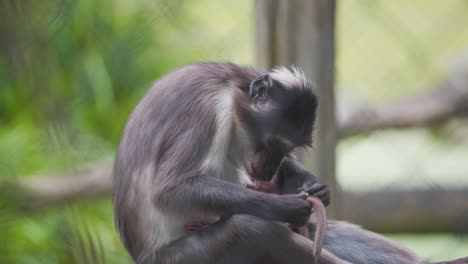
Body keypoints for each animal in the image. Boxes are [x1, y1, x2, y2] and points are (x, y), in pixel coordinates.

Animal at [112, 62, 348, 264]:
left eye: (286, 150)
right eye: (273, 144)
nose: (269, 171)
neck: (231, 87)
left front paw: (315, 187)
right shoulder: (209, 109)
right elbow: (168, 188)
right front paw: (283, 206)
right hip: (183, 257)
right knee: (251, 228)